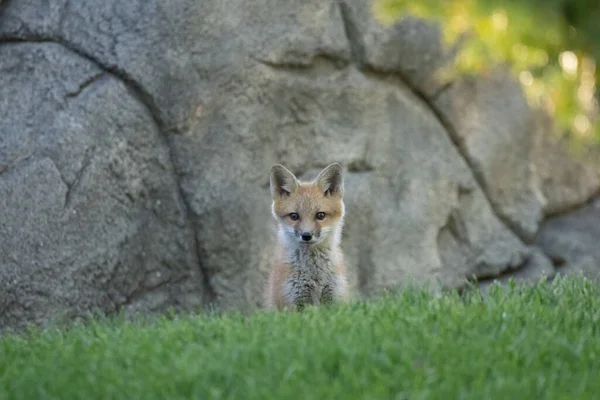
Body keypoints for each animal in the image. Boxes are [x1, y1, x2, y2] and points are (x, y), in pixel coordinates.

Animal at [262, 161, 346, 310]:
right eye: (294, 216)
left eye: (320, 215)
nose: (306, 235)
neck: (315, 274)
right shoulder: (295, 303)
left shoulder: (334, 299)